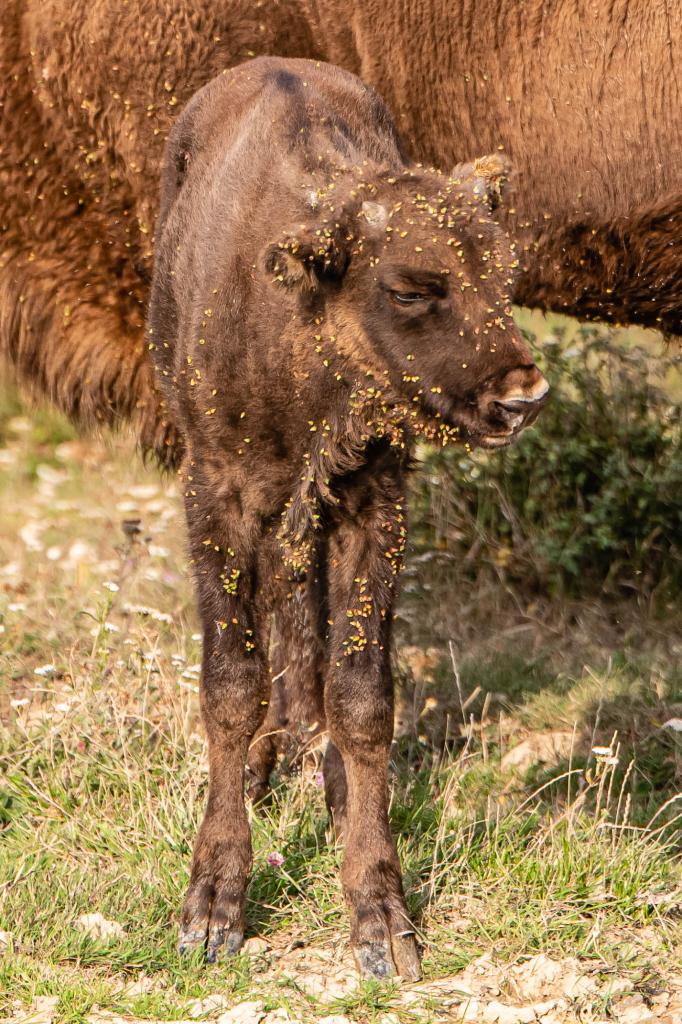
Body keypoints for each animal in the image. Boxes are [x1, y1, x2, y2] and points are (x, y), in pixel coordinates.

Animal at [148, 55, 548, 979]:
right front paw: (213, 907)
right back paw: (269, 762)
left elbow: (365, 695)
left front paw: (381, 918)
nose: (523, 396)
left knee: (308, 623)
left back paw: (320, 771)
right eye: (411, 288)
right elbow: (229, 685)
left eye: (506, 280)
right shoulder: (215, 495)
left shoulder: (374, 504)